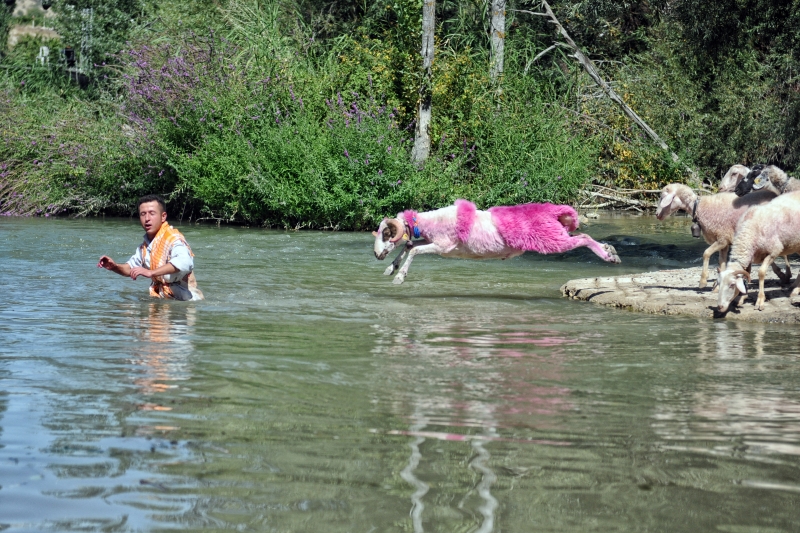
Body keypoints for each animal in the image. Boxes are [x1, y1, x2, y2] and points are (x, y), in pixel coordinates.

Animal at [372, 198, 620, 282]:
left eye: (386, 234)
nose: (376, 254)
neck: (430, 222)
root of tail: (553, 212)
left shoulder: (444, 245)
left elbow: (413, 249)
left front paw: (400, 277)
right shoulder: (438, 246)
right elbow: (410, 244)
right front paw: (390, 269)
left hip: (551, 240)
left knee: (584, 237)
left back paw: (609, 255)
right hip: (557, 233)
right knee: (580, 235)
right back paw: (610, 250)